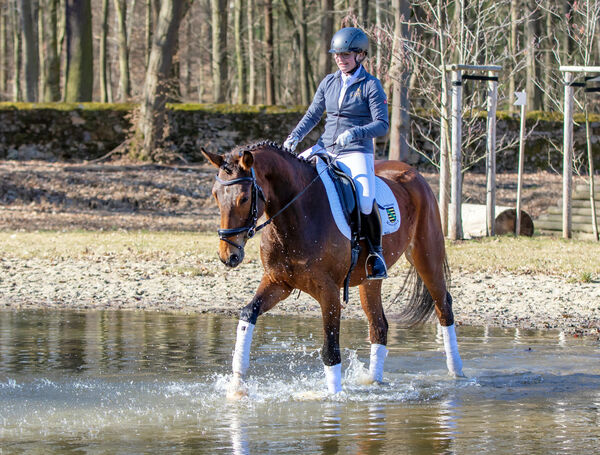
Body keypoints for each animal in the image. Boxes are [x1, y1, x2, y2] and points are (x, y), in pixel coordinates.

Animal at [202, 142, 464, 400]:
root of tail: (413, 173)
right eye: (215, 195)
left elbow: (330, 349)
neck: (298, 214)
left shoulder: (328, 291)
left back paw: (457, 374)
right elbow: (248, 314)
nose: (228, 256)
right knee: (379, 325)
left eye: (244, 198)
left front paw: (334, 398)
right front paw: (237, 388)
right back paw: (374, 383)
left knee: (443, 308)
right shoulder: (278, 283)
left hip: (426, 257)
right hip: (371, 280)